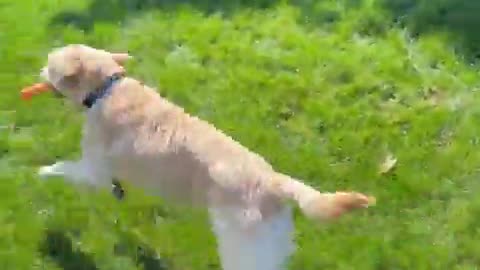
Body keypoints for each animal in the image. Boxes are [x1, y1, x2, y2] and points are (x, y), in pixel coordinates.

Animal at [36, 43, 376, 270]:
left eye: (50, 64)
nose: (38, 71)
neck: (108, 86)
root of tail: (272, 180)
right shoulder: (104, 174)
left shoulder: (92, 168)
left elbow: (62, 168)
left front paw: (41, 171)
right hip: (270, 246)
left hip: (241, 246)